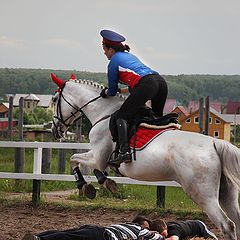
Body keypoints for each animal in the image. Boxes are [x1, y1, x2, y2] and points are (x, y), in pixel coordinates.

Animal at [50, 74, 240, 239]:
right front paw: (103, 183)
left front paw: (85, 185)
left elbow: (74, 159)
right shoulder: (99, 158)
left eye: (54, 99)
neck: (104, 113)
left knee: (227, 225)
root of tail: (215, 143)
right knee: (235, 221)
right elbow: (87, 165)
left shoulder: (98, 157)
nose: (55, 130)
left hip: (203, 194)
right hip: (226, 193)